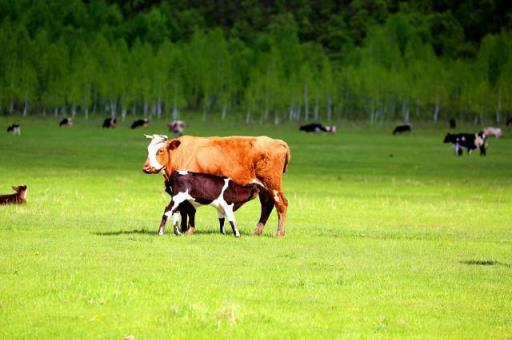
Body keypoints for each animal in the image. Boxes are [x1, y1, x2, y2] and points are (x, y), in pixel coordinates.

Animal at [142, 135, 290, 236]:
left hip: (272, 184)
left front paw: (187, 230)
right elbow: (183, 211)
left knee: (280, 204)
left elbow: (188, 210)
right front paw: (183, 229)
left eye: (161, 150)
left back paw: (279, 233)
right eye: (148, 150)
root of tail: (278, 142)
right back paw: (256, 232)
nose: (146, 168)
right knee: (267, 205)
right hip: (264, 188)